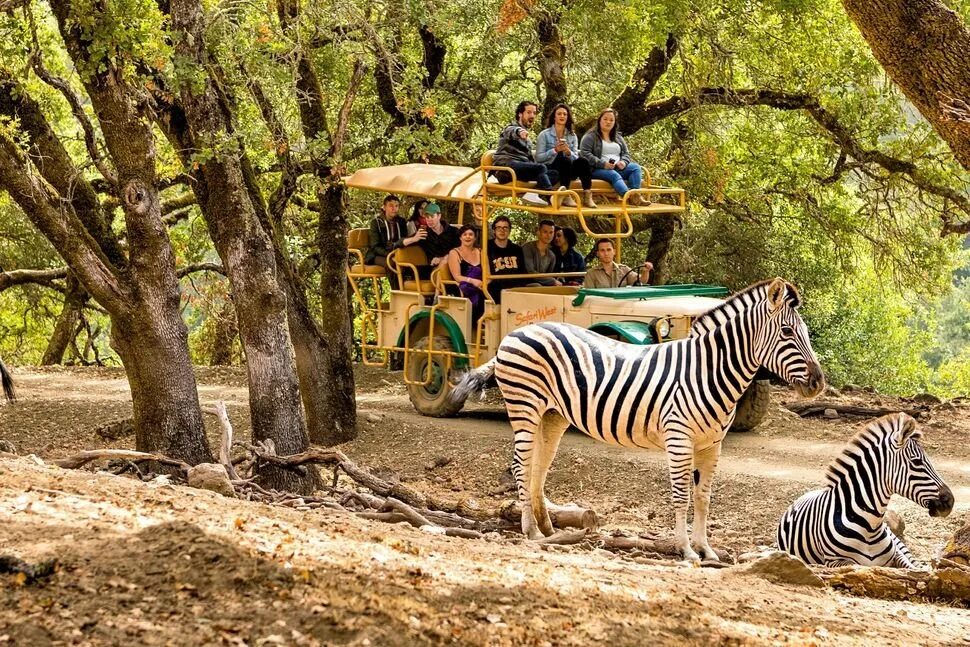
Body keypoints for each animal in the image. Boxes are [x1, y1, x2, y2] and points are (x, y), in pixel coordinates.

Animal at [450, 278, 820, 560]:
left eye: (804, 331)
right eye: (787, 331)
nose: (818, 382)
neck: (705, 370)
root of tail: (515, 334)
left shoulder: (712, 444)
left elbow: (703, 498)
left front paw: (707, 550)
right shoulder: (679, 438)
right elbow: (682, 496)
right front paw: (686, 550)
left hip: (552, 415)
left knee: (538, 467)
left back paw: (548, 528)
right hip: (524, 405)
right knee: (521, 465)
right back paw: (531, 531)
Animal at [776, 412, 948, 568]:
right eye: (917, 462)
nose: (950, 500)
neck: (869, 528)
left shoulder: (895, 555)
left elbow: (912, 568)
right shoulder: (834, 562)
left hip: (898, 541)